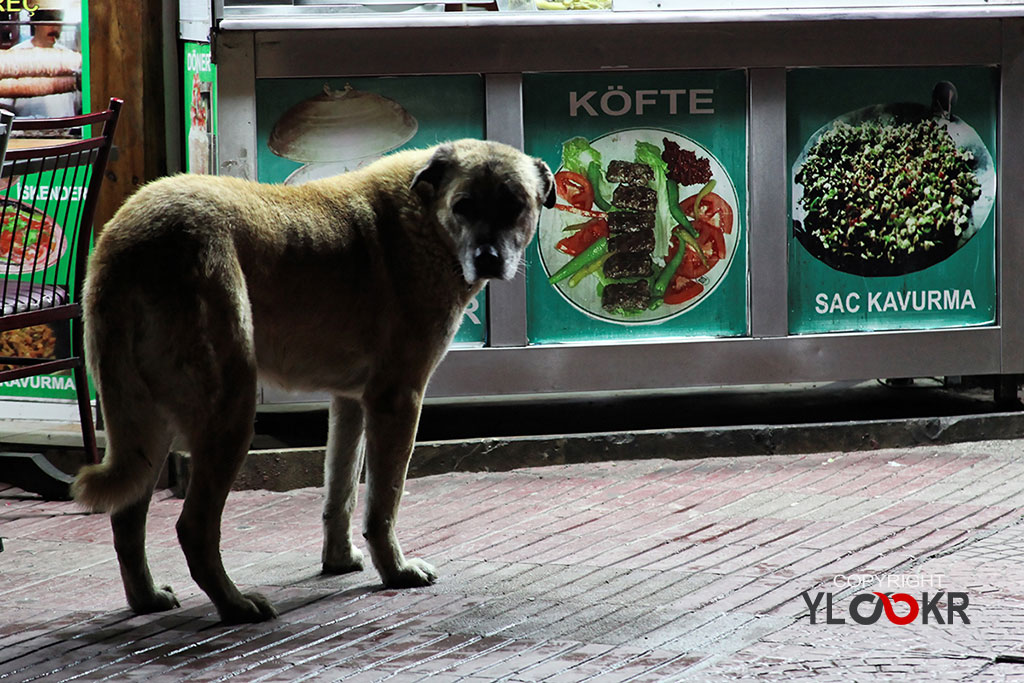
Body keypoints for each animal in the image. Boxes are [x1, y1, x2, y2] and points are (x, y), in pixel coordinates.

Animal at [74, 140, 552, 626]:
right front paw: (395, 570)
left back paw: (147, 598)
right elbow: (383, 504)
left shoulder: (350, 402)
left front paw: (339, 560)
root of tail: (125, 239)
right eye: (464, 205)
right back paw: (235, 605)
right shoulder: (397, 399)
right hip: (228, 413)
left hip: (148, 421)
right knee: (193, 527)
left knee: (126, 519)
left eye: (515, 206)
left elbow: (339, 494)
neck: (425, 219)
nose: (489, 260)